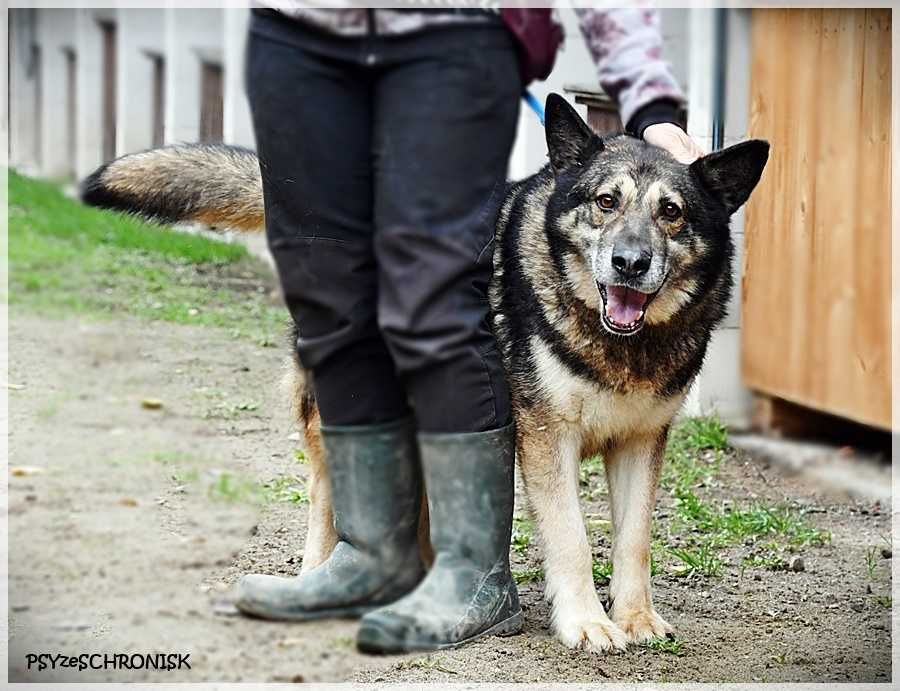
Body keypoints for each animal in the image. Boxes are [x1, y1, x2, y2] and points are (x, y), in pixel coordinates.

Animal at [81, 93, 768, 656]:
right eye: (606, 202)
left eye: (671, 213)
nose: (631, 263)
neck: (619, 343)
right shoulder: (549, 440)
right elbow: (572, 536)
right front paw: (586, 624)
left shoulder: (641, 442)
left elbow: (634, 540)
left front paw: (636, 618)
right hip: (340, 402)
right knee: (330, 497)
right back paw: (322, 581)